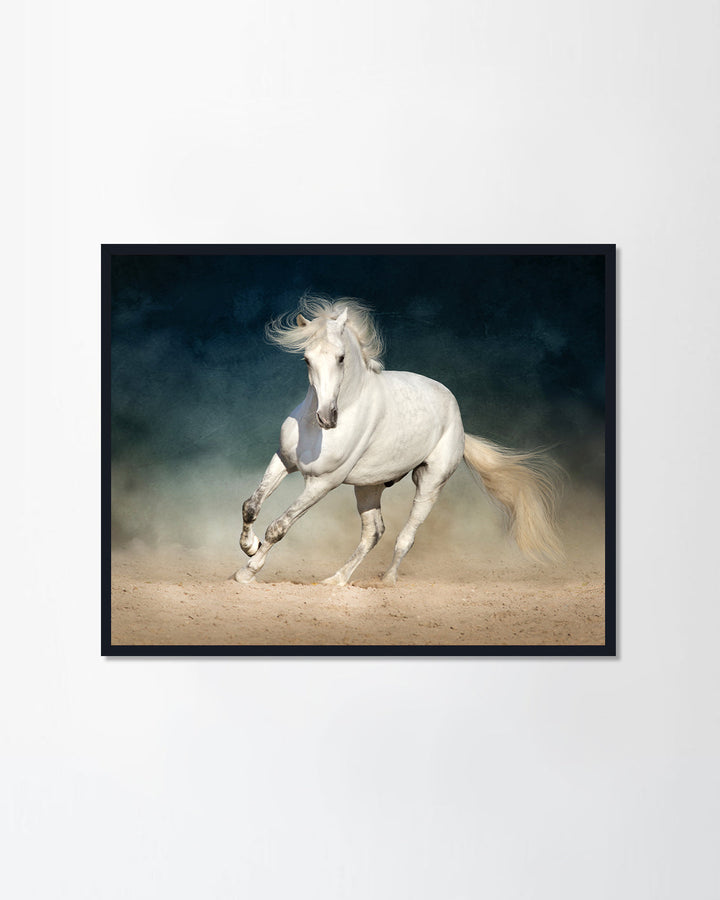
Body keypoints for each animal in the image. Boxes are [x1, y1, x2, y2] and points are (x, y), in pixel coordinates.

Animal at [234, 297, 562, 585]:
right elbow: (251, 505)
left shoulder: (323, 482)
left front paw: (246, 572)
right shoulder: (283, 461)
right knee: (374, 532)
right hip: (368, 486)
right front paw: (249, 546)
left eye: (341, 358)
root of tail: (459, 423)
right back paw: (336, 580)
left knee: (406, 536)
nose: (327, 418)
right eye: (306, 359)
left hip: (429, 483)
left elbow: (279, 527)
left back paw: (387, 581)